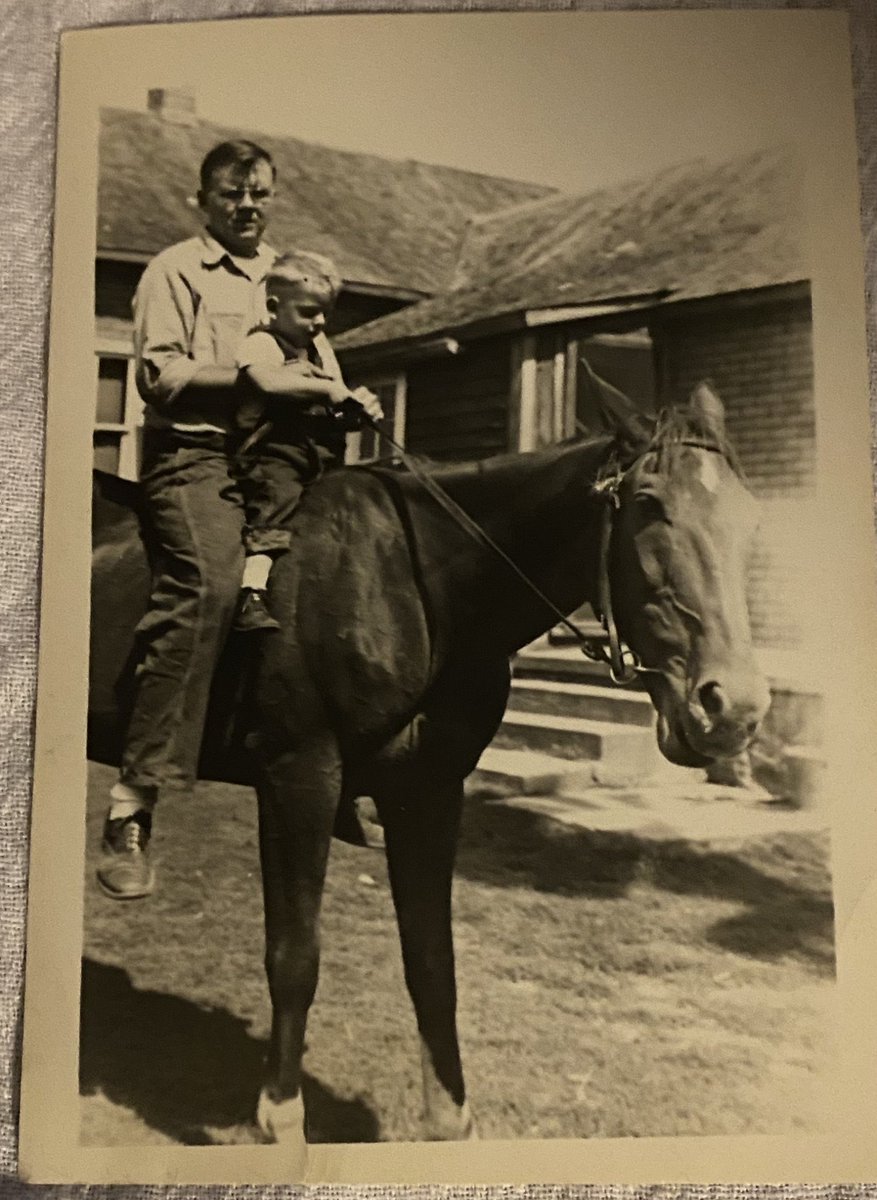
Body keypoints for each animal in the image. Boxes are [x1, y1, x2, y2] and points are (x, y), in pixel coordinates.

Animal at [87, 381, 767, 1161]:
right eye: (649, 503)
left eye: (748, 515)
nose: (734, 708)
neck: (417, 589)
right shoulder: (299, 777)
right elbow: (294, 956)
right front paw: (280, 1117)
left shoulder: (431, 792)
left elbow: (432, 963)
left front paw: (448, 1117)